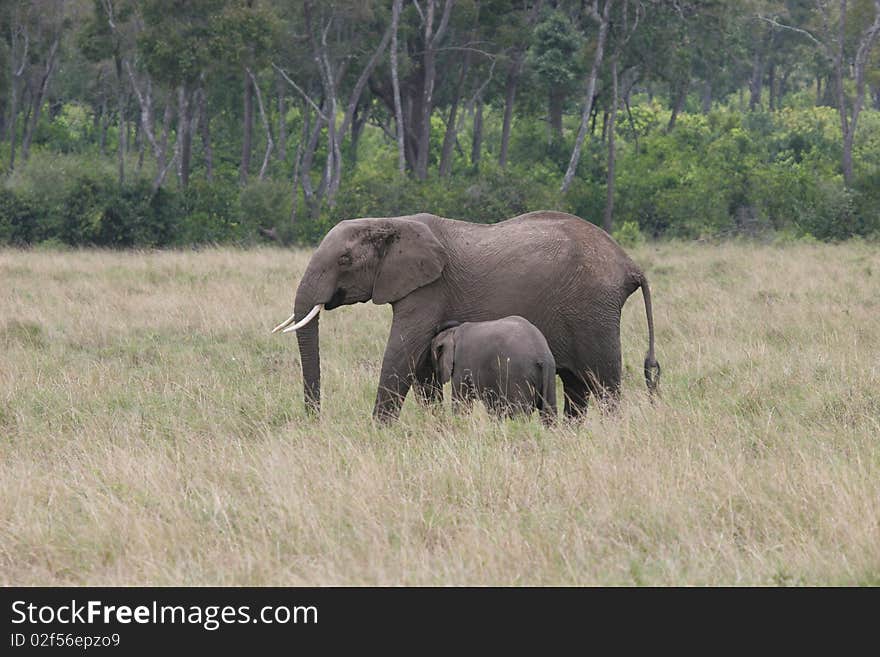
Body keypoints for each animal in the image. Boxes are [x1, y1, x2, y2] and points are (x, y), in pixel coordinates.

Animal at [276, 210, 660, 420]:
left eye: (344, 260)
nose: (315, 420)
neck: (391, 222)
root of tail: (630, 265)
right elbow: (422, 367)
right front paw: (434, 428)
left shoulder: (429, 289)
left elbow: (401, 354)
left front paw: (378, 432)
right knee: (577, 387)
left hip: (595, 313)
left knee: (603, 383)